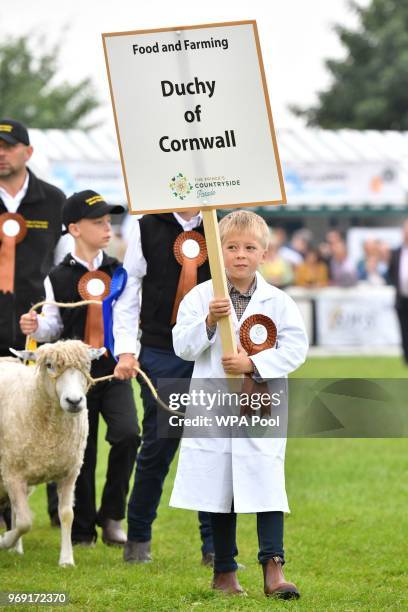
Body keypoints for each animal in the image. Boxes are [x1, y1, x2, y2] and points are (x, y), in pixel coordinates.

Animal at [0, 340, 104, 564]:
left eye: (87, 365)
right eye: (49, 365)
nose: (74, 401)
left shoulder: (69, 473)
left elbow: (66, 514)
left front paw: (66, 560)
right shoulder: (13, 473)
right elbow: (25, 521)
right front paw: (4, 540)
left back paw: (17, 549)